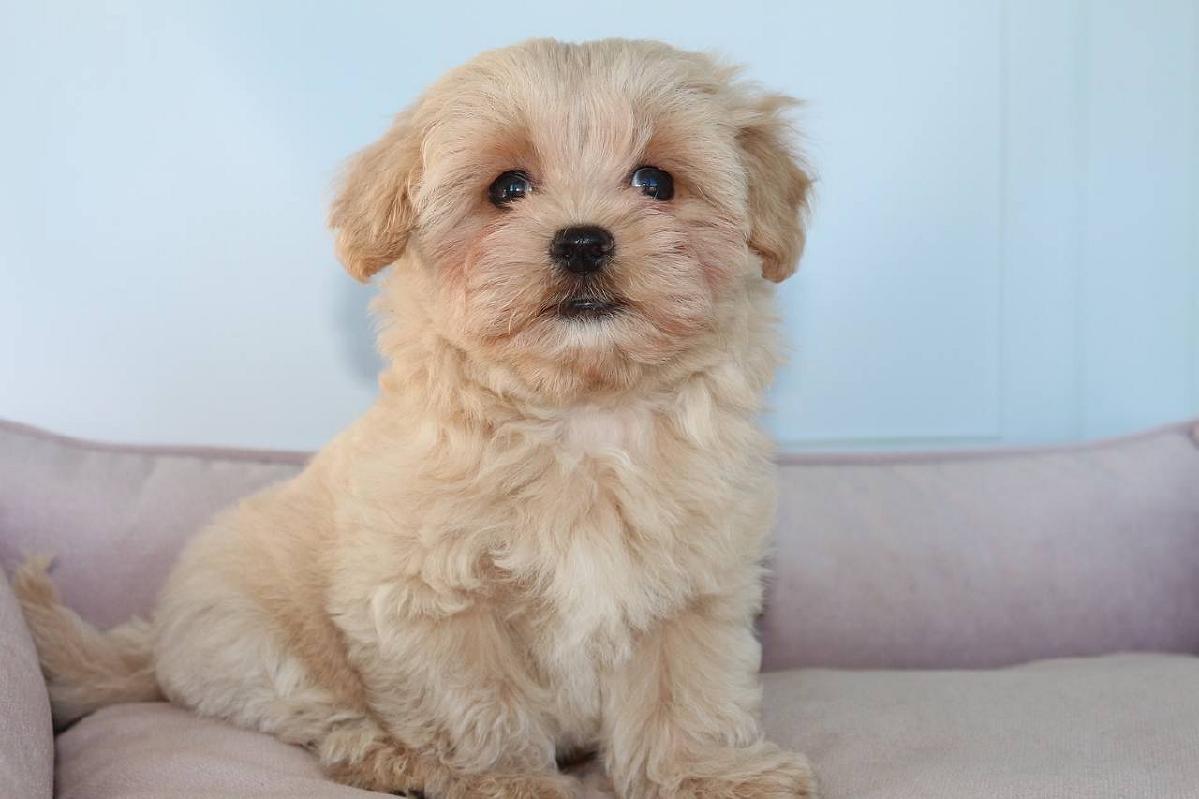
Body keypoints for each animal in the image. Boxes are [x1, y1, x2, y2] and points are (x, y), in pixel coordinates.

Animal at [14, 38, 815, 796]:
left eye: (656, 182)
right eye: (507, 188)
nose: (584, 239)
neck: (579, 414)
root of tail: (154, 643)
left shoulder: (697, 588)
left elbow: (686, 694)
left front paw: (711, 777)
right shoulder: (427, 594)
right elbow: (477, 699)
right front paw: (503, 781)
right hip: (254, 646)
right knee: (321, 714)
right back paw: (386, 756)